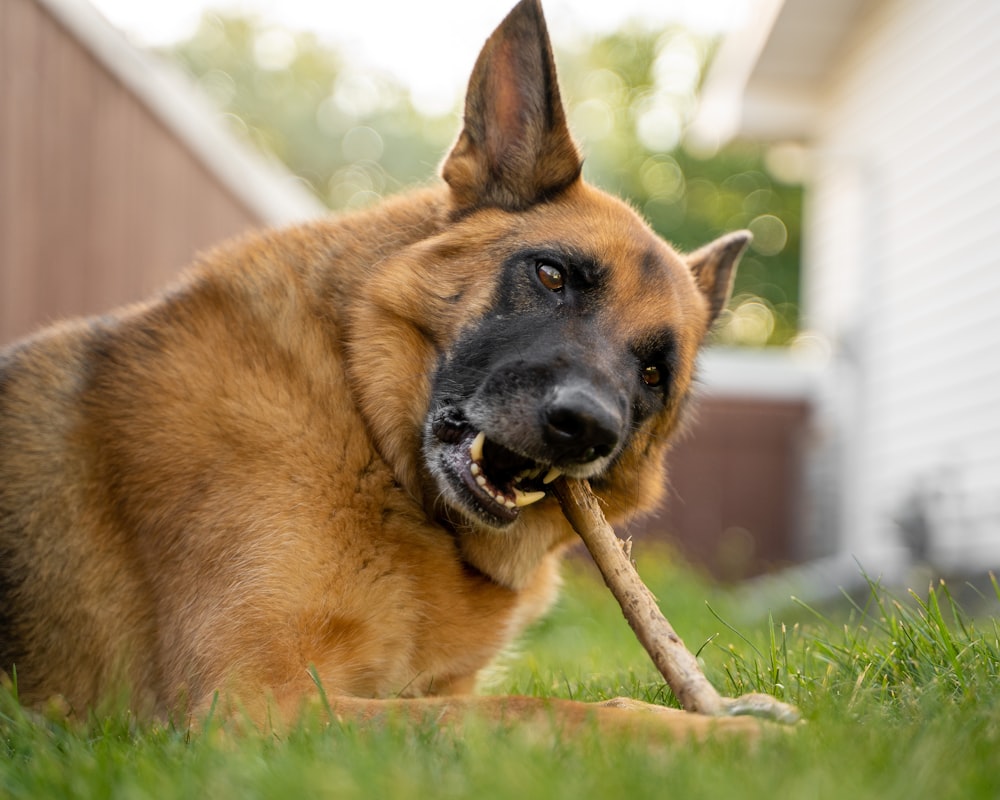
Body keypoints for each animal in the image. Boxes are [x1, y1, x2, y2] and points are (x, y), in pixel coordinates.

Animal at [0, 0, 752, 736]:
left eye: (652, 374)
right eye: (550, 275)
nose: (587, 427)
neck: (361, 421)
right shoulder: (254, 701)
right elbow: (539, 710)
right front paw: (736, 736)